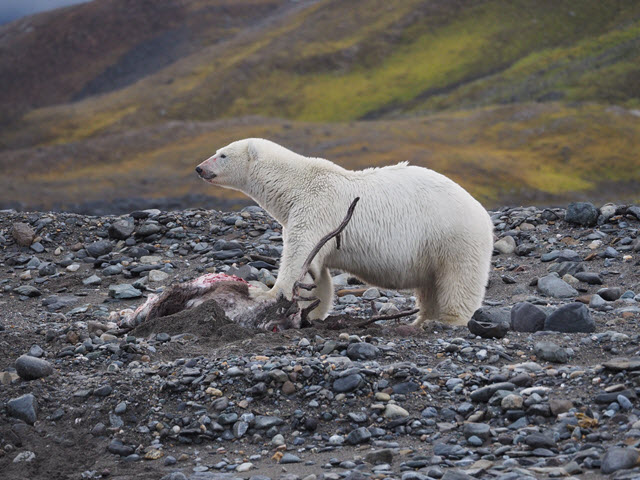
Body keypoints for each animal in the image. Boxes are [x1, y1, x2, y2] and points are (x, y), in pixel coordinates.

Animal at [195, 138, 496, 326]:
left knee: (459, 278)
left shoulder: (315, 209)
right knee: (430, 284)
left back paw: (448, 319)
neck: (295, 185)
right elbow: (317, 272)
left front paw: (266, 293)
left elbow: (298, 256)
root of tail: (482, 213)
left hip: (453, 236)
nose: (199, 168)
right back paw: (421, 319)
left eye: (222, 154)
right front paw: (314, 310)